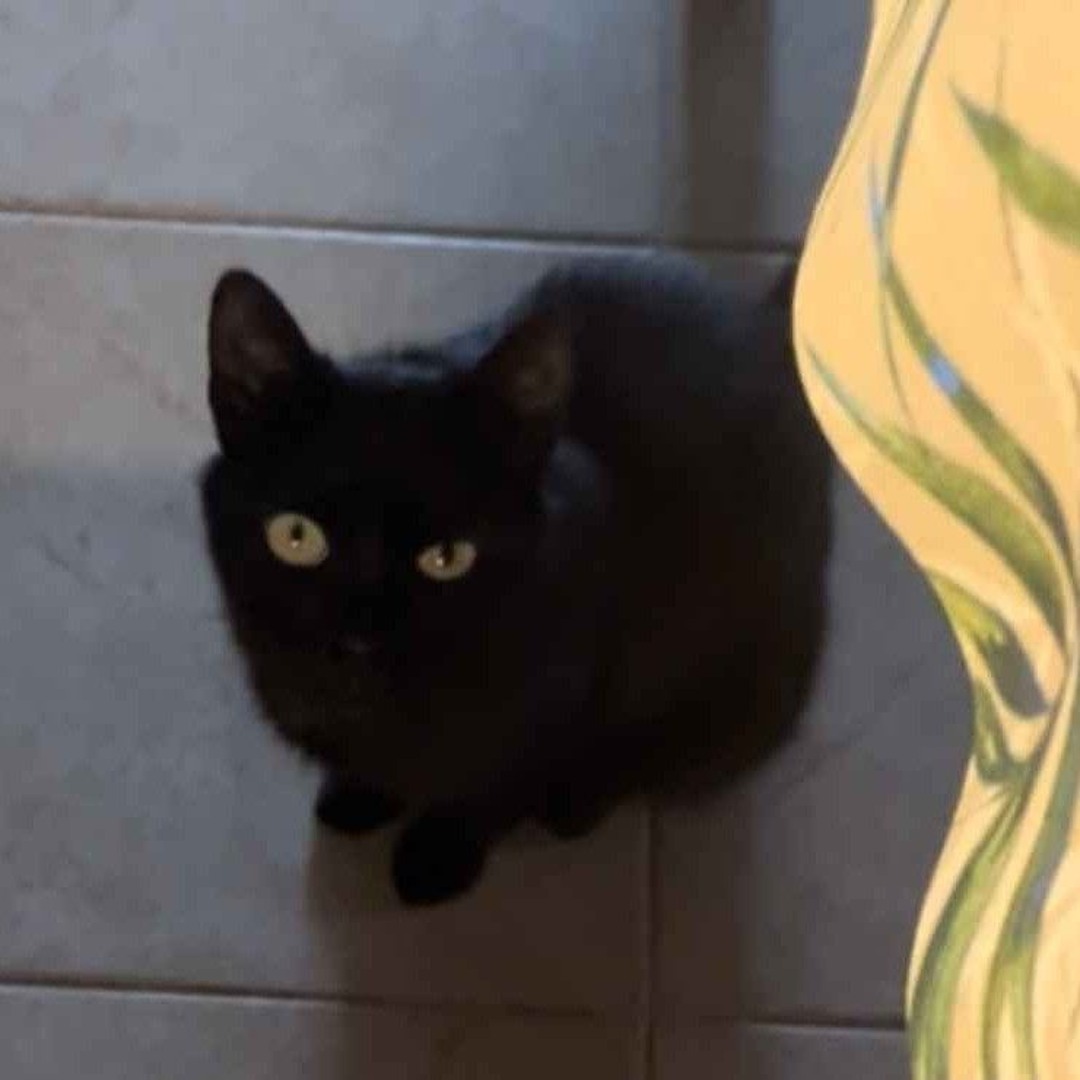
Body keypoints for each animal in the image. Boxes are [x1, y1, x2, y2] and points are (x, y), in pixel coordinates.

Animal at [200, 254, 832, 905]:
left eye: (447, 557)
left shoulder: (574, 685)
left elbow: (498, 784)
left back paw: (578, 802)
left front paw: (437, 855)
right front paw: (360, 794)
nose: (358, 644)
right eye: (296, 536)